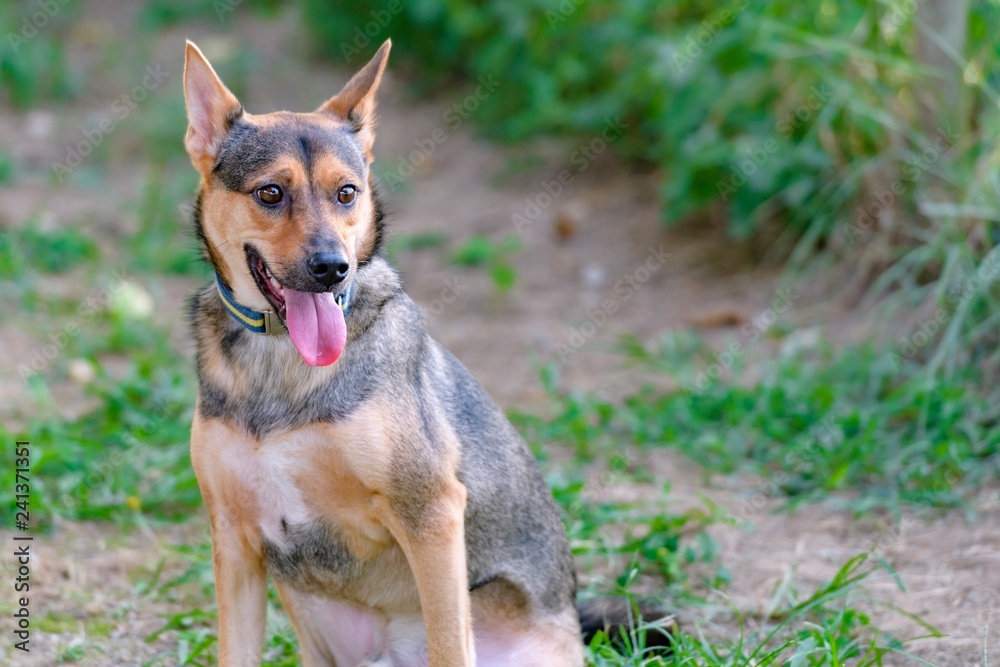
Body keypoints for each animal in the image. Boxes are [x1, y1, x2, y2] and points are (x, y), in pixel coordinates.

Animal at [184, 39, 668, 664]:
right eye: (270, 192)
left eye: (347, 192)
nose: (333, 268)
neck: (280, 361)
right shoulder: (235, 539)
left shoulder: (431, 512)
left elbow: (448, 644)